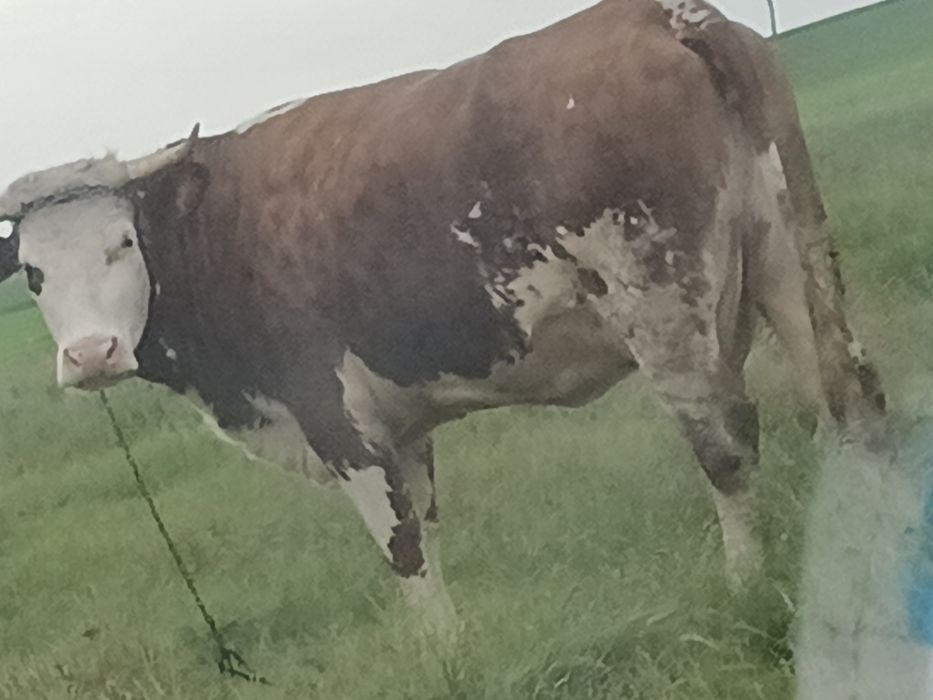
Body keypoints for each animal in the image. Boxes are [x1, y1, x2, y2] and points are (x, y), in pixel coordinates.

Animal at [0, 0, 886, 638]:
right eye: (34, 273)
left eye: (121, 242)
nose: (92, 354)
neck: (208, 227)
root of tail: (661, 17)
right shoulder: (402, 432)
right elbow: (426, 535)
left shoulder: (339, 422)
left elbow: (400, 551)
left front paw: (436, 656)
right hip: (786, 256)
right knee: (846, 395)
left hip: (664, 307)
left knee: (725, 445)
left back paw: (744, 582)